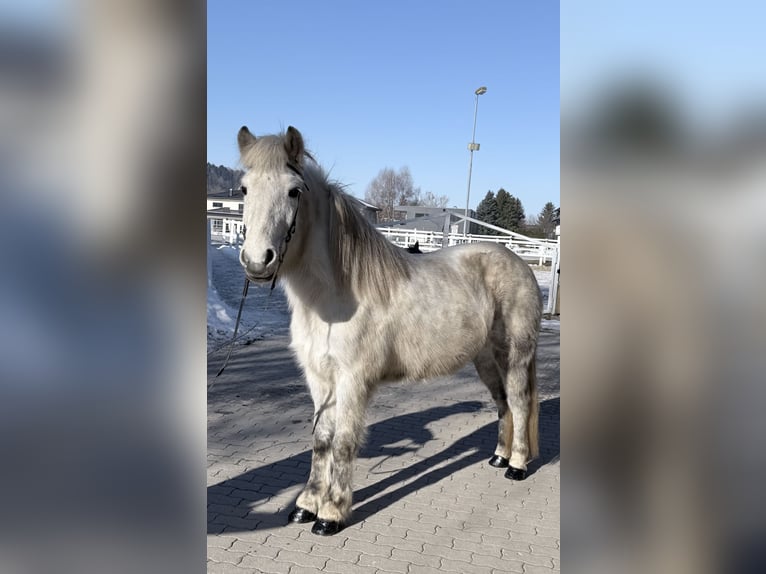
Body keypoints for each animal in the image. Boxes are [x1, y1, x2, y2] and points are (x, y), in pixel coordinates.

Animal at [236, 126, 543, 536]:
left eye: (294, 191)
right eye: (244, 188)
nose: (257, 261)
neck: (335, 295)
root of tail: (518, 263)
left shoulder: (352, 380)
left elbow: (343, 443)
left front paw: (331, 514)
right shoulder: (320, 379)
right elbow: (321, 441)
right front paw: (305, 506)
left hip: (514, 356)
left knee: (520, 403)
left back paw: (517, 466)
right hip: (485, 361)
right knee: (502, 404)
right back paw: (498, 457)